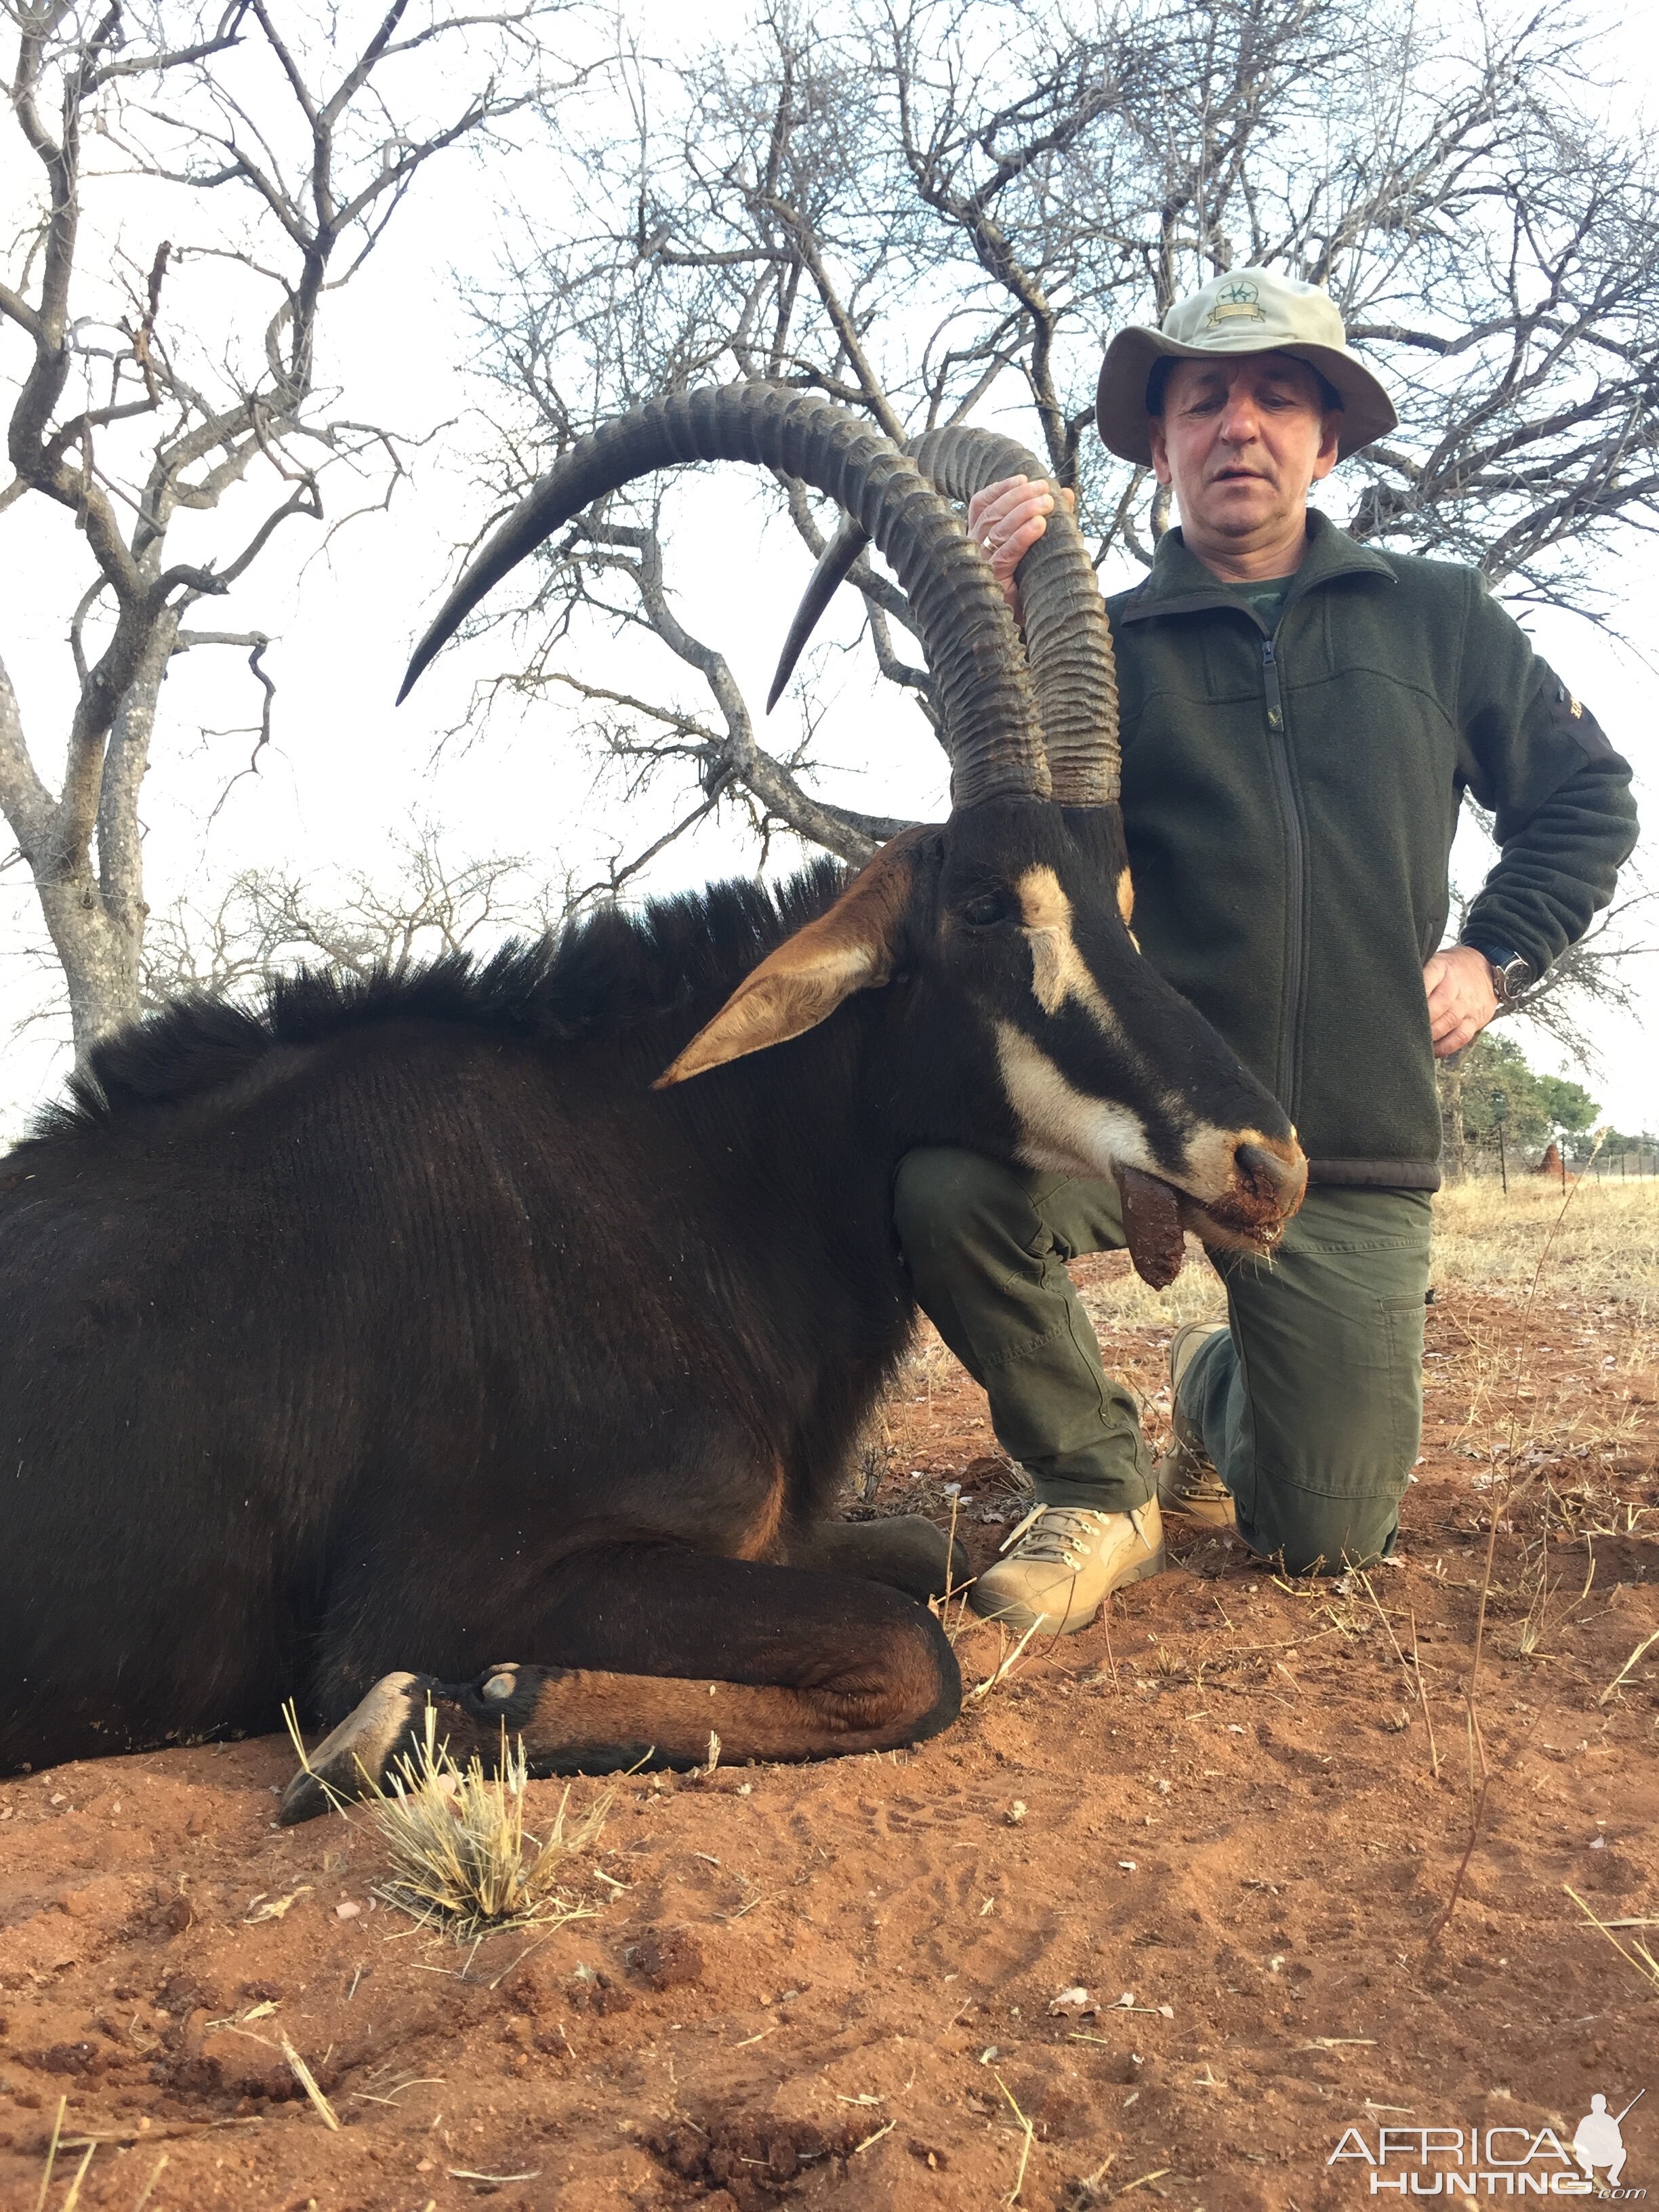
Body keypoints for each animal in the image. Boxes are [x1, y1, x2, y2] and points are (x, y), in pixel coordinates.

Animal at [0, 384, 1309, 1814]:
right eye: (979, 906)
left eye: (1116, 900)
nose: (1267, 1165)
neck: (658, 1158)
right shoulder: (426, 1592)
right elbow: (912, 1652)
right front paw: (408, 1722)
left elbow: (927, 1554)